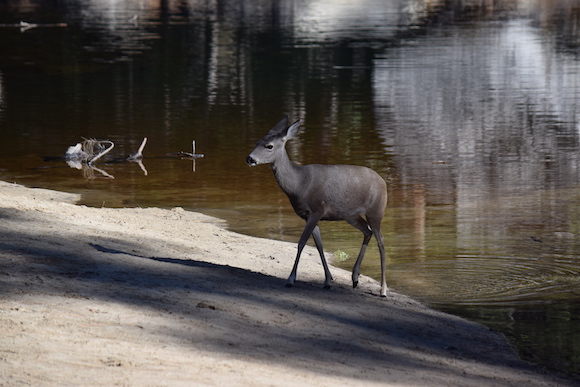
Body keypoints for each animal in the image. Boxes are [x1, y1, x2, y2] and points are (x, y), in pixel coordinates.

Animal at [246, 116, 390, 298]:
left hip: (376, 210)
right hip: (351, 215)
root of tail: (384, 183)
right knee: (367, 231)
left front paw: (290, 279)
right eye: (257, 141)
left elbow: (301, 242)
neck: (299, 184)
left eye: (269, 146)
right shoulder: (308, 215)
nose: (250, 158)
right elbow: (319, 245)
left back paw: (383, 290)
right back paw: (355, 278)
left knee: (381, 241)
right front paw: (328, 281)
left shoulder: (317, 209)